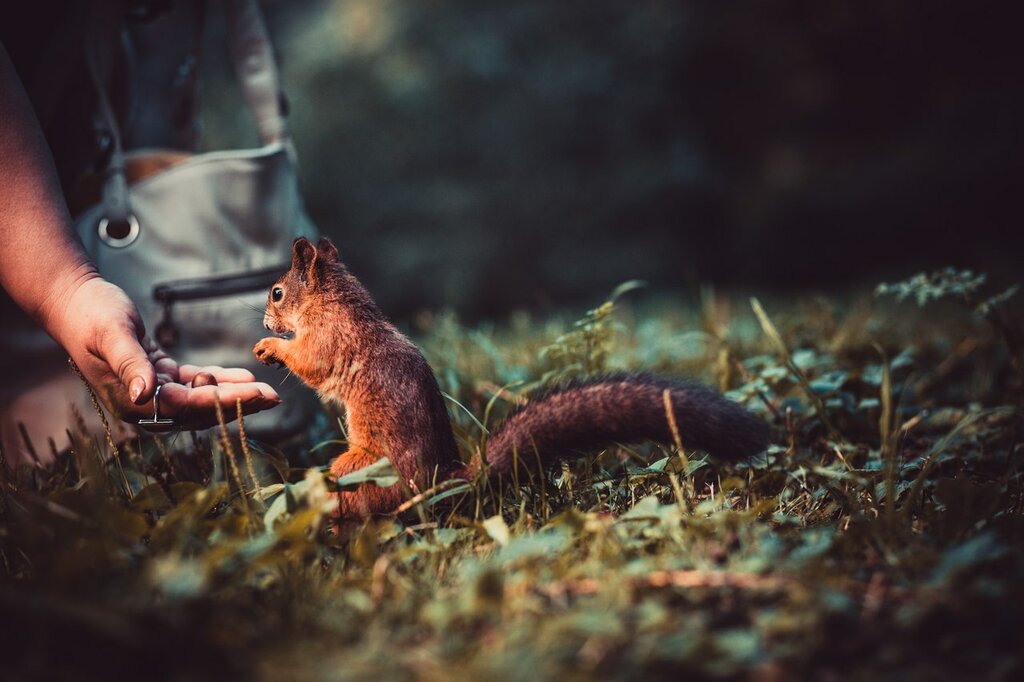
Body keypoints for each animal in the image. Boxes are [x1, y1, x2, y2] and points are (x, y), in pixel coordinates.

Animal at [256, 237, 770, 516]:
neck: (336, 301)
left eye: (277, 292)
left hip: (362, 471)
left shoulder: (329, 337)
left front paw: (271, 348)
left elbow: (311, 362)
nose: (264, 322)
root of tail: (448, 483)